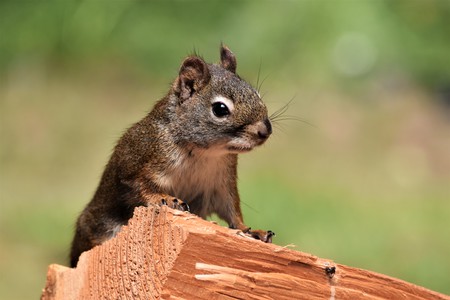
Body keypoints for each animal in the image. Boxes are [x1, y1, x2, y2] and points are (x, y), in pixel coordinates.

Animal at [70, 44, 274, 268]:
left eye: (257, 94)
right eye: (220, 109)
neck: (204, 152)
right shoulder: (139, 160)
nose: (265, 131)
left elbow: (231, 210)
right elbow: (139, 186)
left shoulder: (221, 183)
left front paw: (250, 230)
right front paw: (166, 199)